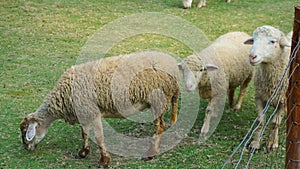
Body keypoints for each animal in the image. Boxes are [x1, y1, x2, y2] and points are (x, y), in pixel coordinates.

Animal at [19, 50, 179, 167]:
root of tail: (172, 63)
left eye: (25, 131)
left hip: (157, 100)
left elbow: (99, 137)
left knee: (159, 127)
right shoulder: (84, 112)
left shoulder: (94, 112)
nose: (26, 148)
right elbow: (84, 133)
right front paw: (83, 152)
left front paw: (104, 161)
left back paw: (151, 154)